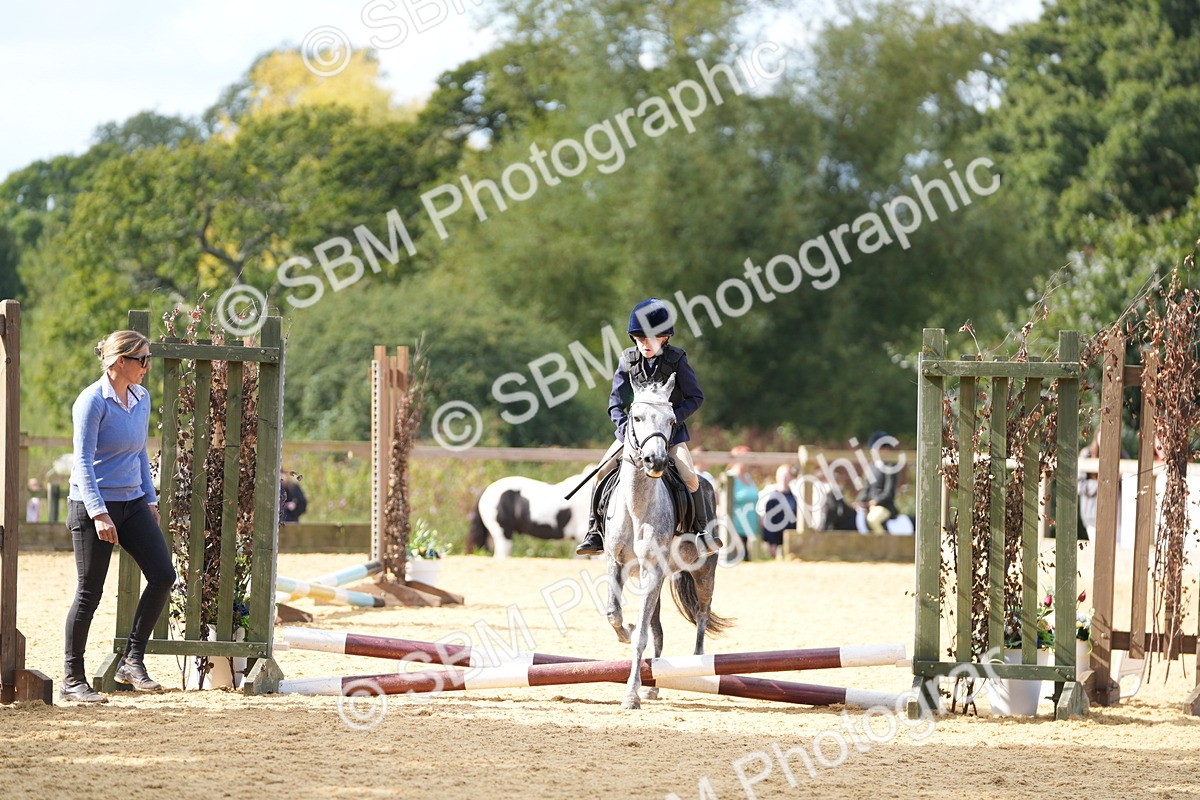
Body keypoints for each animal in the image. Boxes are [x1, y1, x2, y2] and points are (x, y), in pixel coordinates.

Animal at [604, 374, 731, 709]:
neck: (637, 505)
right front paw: (626, 632)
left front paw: (630, 696)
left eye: (672, 420)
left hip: (703, 572)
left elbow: (642, 636)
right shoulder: (617, 564)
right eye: (636, 417)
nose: (656, 461)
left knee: (701, 614)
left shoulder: (653, 569)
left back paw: (697, 667)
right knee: (659, 628)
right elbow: (616, 615)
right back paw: (655, 686)